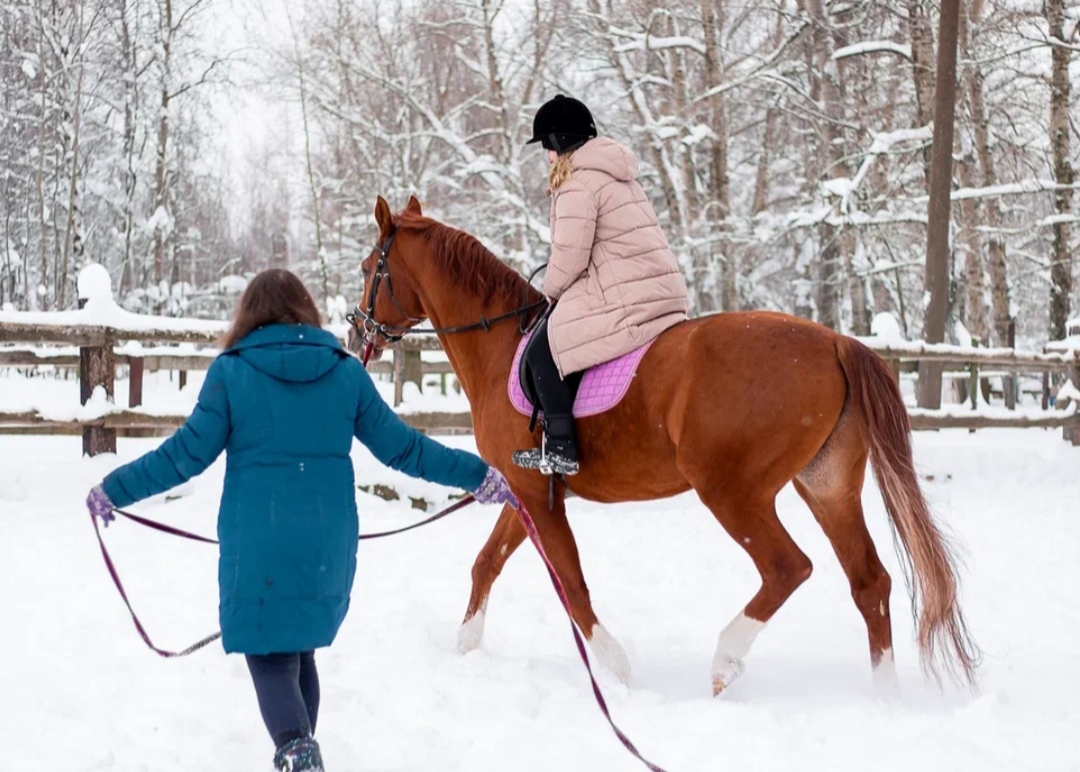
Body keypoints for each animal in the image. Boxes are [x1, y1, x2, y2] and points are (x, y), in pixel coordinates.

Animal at [345, 196, 980, 699]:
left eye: (368, 268)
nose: (357, 335)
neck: (502, 346)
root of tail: (834, 342)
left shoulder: (538, 495)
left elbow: (572, 585)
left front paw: (618, 670)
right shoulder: (526, 492)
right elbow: (486, 564)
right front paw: (465, 647)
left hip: (732, 492)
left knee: (787, 568)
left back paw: (724, 664)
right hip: (826, 488)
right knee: (870, 582)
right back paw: (885, 697)